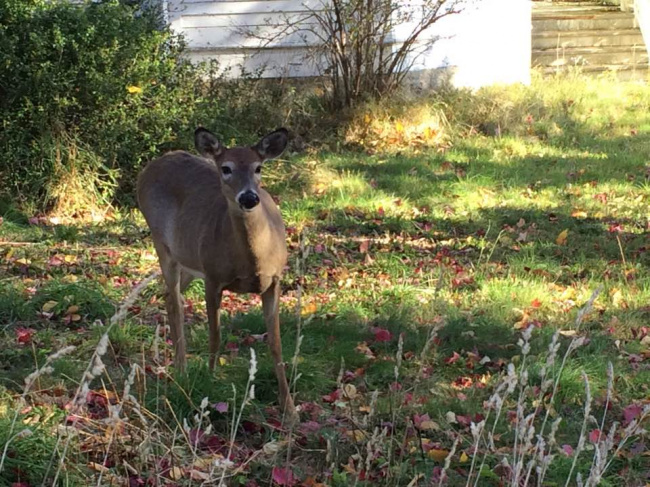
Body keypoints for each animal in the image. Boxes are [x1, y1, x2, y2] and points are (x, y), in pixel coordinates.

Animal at [139, 127, 298, 422]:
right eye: (226, 168)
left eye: (258, 167)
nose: (249, 197)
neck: (251, 261)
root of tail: (151, 166)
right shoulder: (213, 278)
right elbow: (215, 337)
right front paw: (210, 384)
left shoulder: (274, 281)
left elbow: (277, 344)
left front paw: (290, 409)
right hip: (163, 245)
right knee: (175, 303)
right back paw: (182, 371)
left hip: (189, 258)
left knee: (169, 296)